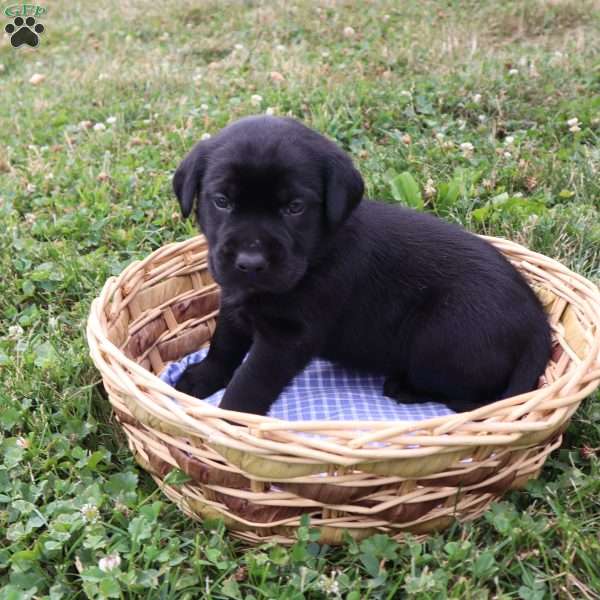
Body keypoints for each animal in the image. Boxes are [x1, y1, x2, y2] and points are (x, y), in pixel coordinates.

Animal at [171, 117, 552, 418]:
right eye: (222, 201)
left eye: (294, 207)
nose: (250, 264)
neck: (316, 256)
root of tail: (538, 323)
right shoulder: (233, 302)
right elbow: (223, 345)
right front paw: (201, 378)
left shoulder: (287, 338)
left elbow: (250, 380)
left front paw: (231, 418)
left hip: (440, 336)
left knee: (470, 393)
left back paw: (406, 388)